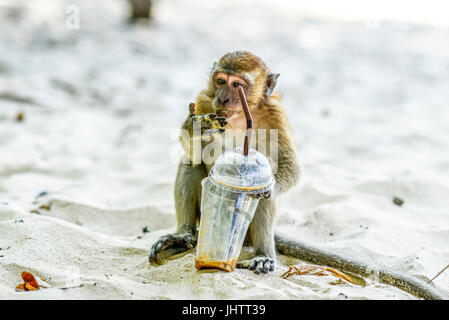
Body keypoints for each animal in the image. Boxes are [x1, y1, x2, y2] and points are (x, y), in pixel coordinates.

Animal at [149, 51, 300, 274]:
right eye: (220, 81)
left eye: (237, 85)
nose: (222, 98)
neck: (239, 116)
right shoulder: (203, 100)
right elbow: (196, 156)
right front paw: (194, 127)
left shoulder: (275, 113)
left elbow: (290, 167)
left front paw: (267, 186)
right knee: (190, 163)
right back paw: (183, 236)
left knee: (263, 196)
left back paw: (263, 254)